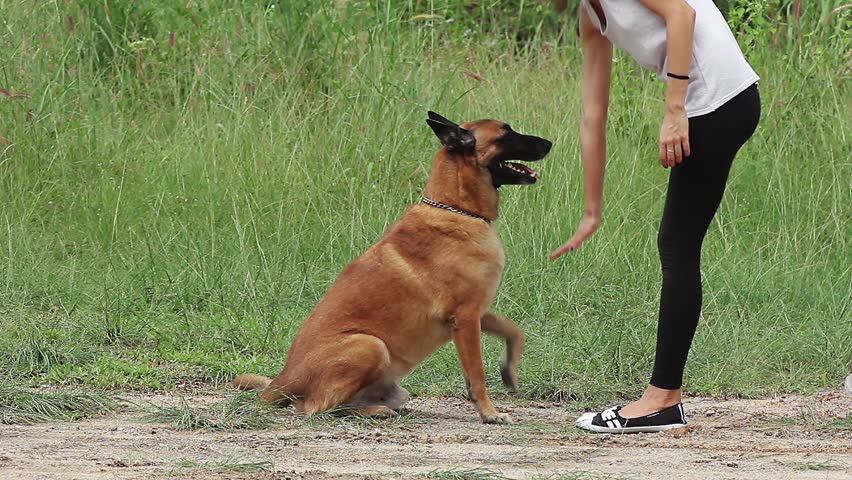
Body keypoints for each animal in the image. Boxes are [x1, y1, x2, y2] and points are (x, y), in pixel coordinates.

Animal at [233, 111, 552, 424]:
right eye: (506, 132)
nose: (550, 143)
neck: (457, 209)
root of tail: (282, 381)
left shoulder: (478, 312)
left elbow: (515, 331)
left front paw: (509, 370)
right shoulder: (465, 316)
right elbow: (477, 374)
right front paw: (489, 412)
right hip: (370, 345)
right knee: (316, 408)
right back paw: (374, 411)